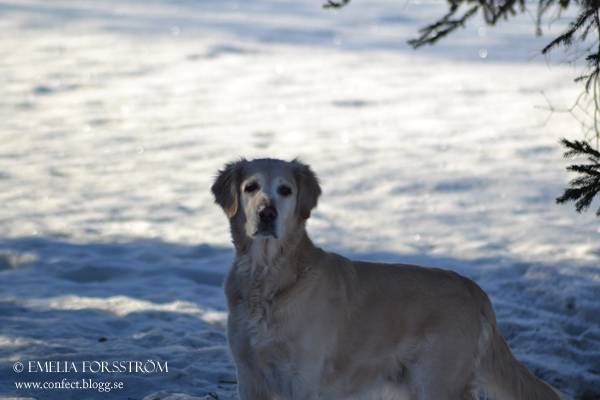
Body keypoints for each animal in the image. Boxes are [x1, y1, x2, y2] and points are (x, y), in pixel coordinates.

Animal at [211, 157, 564, 400]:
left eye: (286, 190)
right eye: (250, 187)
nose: (267, 213)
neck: (266, 279)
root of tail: (471, 285)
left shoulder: (303, 377)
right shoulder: (248, 374)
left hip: (437, 382)